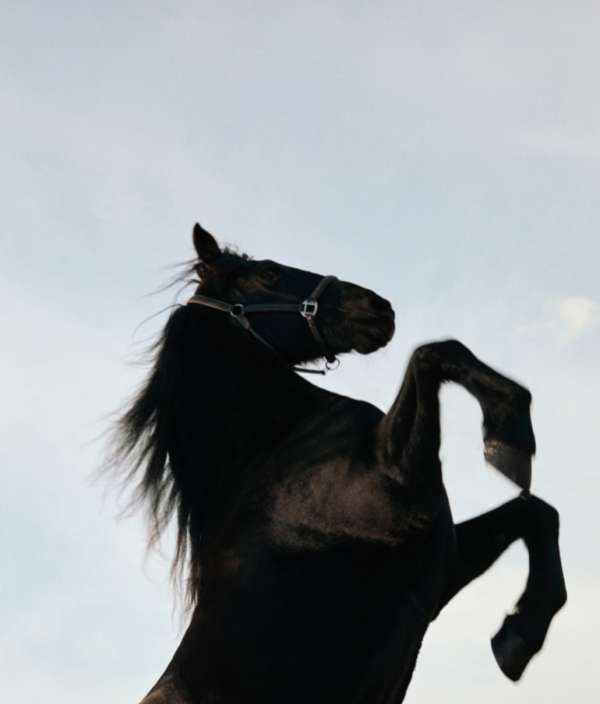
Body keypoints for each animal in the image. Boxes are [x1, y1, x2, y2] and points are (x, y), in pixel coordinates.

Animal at [112, 223, 566, 704]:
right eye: (268, 273)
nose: (377, 307)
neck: (283, 449)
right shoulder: (394, 492)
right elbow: (433, 354)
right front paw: (509, 429)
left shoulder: (441, 571)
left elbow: (538, 512)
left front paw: (519, 636)